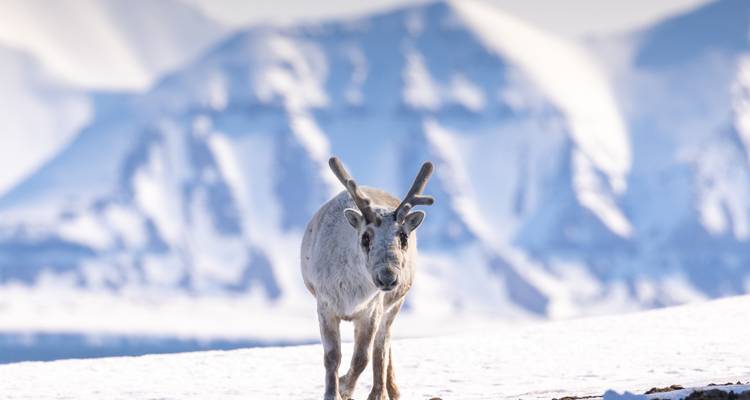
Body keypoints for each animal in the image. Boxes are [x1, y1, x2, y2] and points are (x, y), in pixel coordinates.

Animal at [301, 156, 435, 400]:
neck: (351, 292)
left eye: (403, 237)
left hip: (394, 305)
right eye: (365, 237)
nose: (388, 277)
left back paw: (383, 392)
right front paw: (332, 393)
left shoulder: (371, 309)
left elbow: (363, 357)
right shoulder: (325, 306)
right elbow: (332, 356)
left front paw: (345, 387)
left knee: (382, 347)